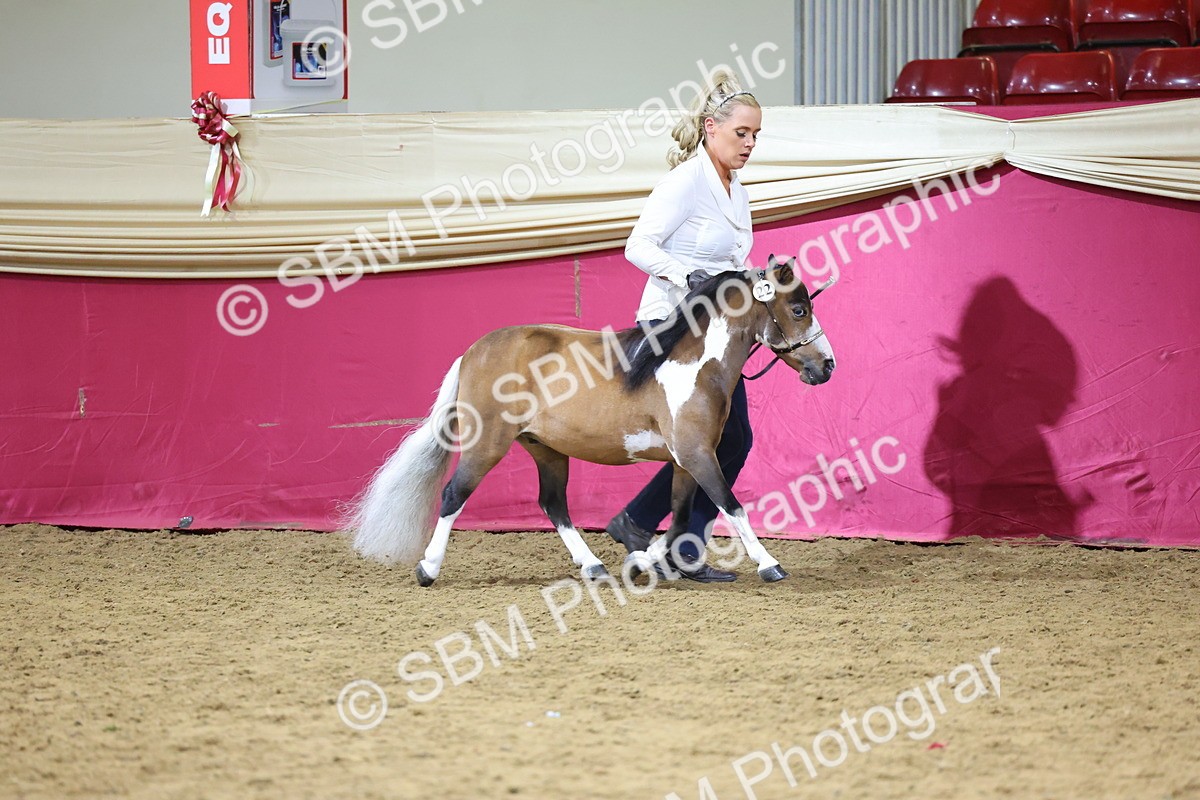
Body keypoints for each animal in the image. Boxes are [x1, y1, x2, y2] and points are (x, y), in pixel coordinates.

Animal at [349, 255, 836, 586]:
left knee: (554, 505)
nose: (827, 366)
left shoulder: (685, 460)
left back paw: (593, 566)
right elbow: (731, 506)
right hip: (487, 442)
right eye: (798, 310)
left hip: (546, 450)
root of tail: (474, 351)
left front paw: (642, 561)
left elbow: (681, 517)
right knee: (454, 494)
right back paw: (427, 569)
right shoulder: (698, 454)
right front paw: (770, 564)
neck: (692, 364)